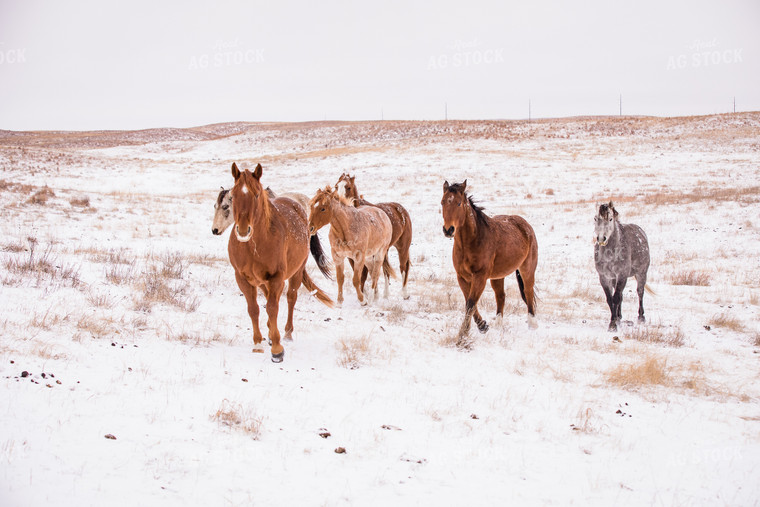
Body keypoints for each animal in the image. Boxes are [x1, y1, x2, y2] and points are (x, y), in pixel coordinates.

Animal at [226, 163, 332, 362]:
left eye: (256, 194)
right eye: (233, 195)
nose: (243, 230)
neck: (255, 245)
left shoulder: (276, 277)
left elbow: (273, 307)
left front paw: (277, 349)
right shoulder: (243, 279)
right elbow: (254, 309)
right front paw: (258, 343)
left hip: (295, 273)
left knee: (290, 298)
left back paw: (287, 334)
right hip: (261, 281)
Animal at [440, 181, 540, 340]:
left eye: (459, 203)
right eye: (443, 202)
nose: (448, 230)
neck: (472, 241)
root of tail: (525, 225)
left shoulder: (480, 276)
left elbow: (471, 303)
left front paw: (463, 333)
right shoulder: (462, 277)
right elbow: (470, 302)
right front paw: (483, 326)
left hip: (527, 269)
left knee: (528, 291)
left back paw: (532, 324)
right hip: (498, 276)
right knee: (501, 296)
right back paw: (498, 325)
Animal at [596, 202, 652, 334]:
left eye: (610, 219)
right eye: (595, 219)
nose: (601, 239)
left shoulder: (622, 275)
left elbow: (616, 298)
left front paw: (613, 325)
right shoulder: (604, 277)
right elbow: (610, 299)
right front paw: (615, 320)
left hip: (641, 273)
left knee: (640, 292)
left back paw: (641, 317)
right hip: (614, 279)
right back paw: (619, 316)